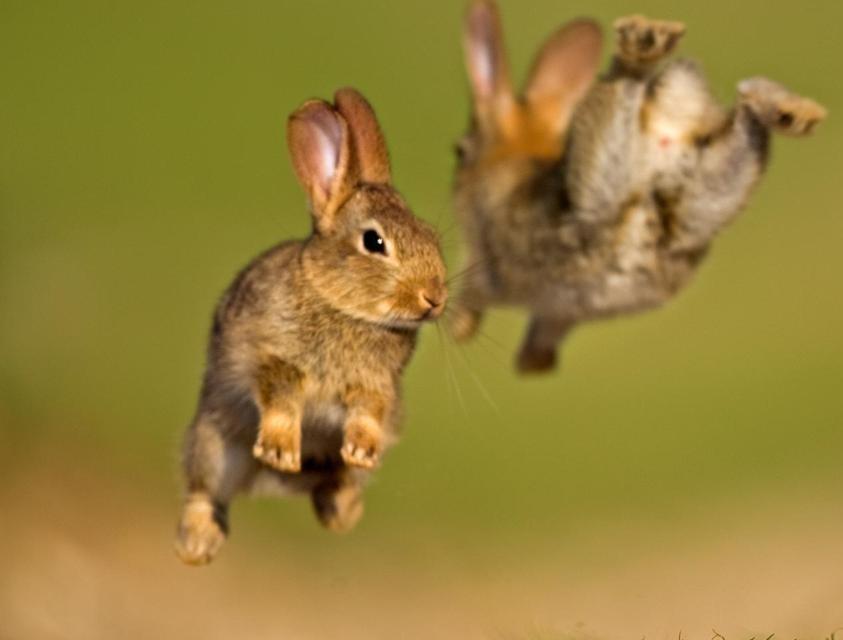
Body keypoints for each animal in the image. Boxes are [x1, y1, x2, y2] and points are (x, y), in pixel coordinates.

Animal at [173, 87, 448, 564]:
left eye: (430, 235)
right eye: (374, 242)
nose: (434, 297)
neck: (343, 307)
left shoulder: (376, 385)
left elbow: (368, 413)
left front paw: (361, 450)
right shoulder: (273, 359)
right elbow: (281, 400)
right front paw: (280, 450)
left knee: (335, 486)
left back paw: (341, 509)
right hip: (213, 444)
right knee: (207, 491)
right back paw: (196, 544)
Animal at [452, 0, 828, 372]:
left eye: (459, 151)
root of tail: (667, 128)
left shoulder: (486, 260)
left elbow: (473, 287)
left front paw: (464, 330)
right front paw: (534, 359)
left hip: (593, 199)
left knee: (625, 82)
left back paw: (641, 44)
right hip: (703, 199)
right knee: (748, 117)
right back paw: (795, 112)